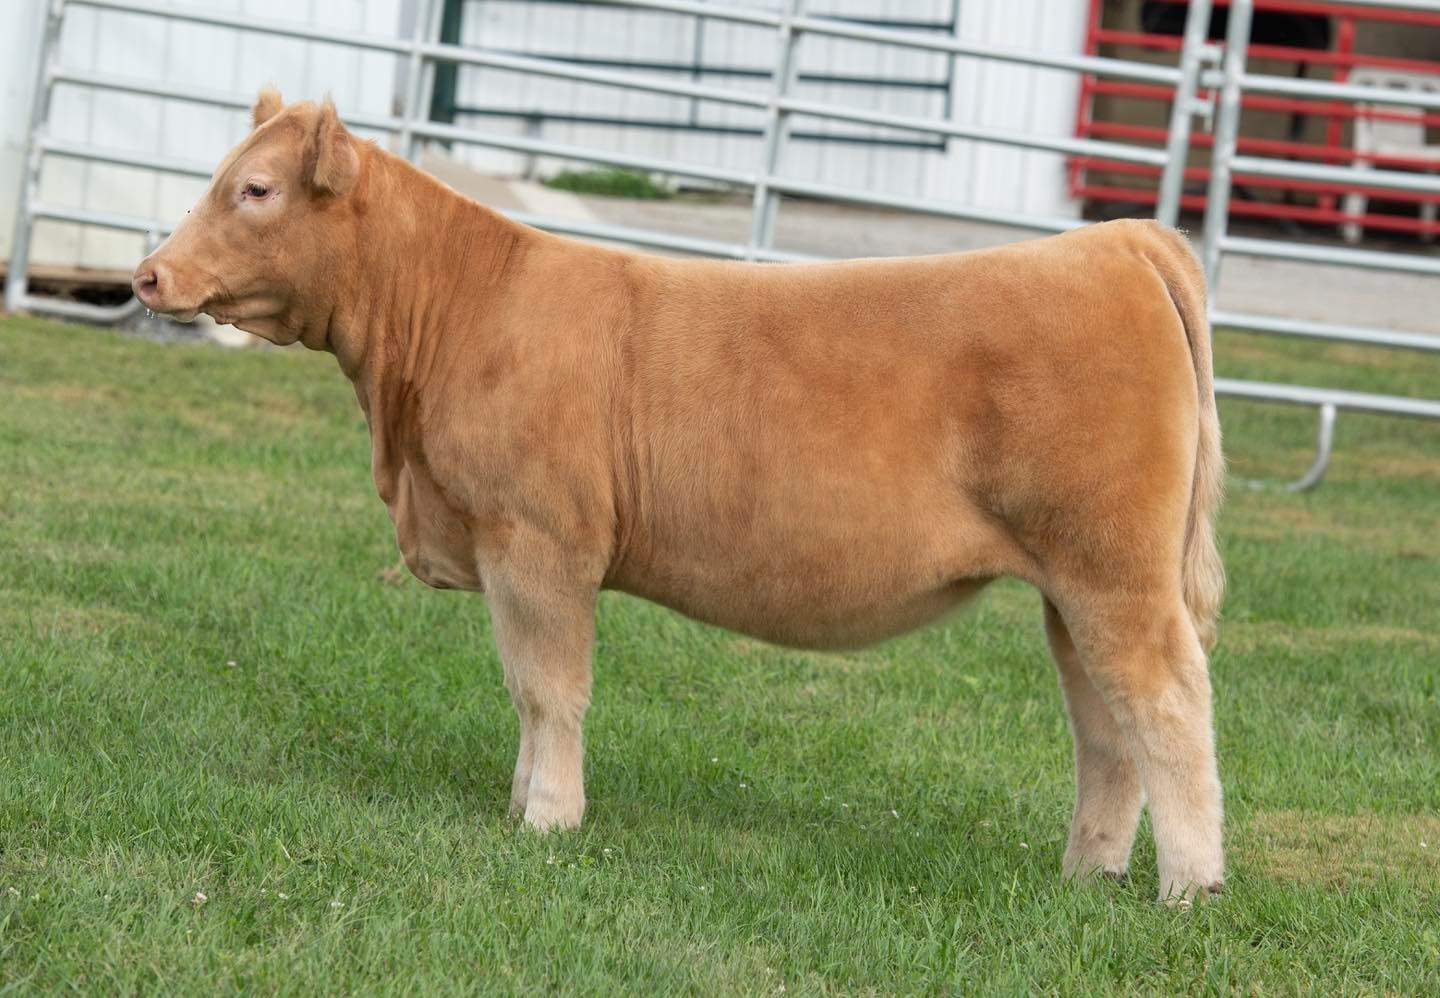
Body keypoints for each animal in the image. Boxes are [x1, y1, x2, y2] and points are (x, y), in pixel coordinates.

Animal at [132, 91, 1226, 903]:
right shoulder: (502, 546)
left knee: (1167, 704)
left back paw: (1189, 889)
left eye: (256, 188)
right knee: (1104, 726)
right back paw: (1089, 874)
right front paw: (522, 804)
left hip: (1114, 570)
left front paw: (549, 819)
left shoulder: (539, 542)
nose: (148, 274)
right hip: (1074, 586)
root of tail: (1116, 243)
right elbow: (525, 689)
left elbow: (551, 688)